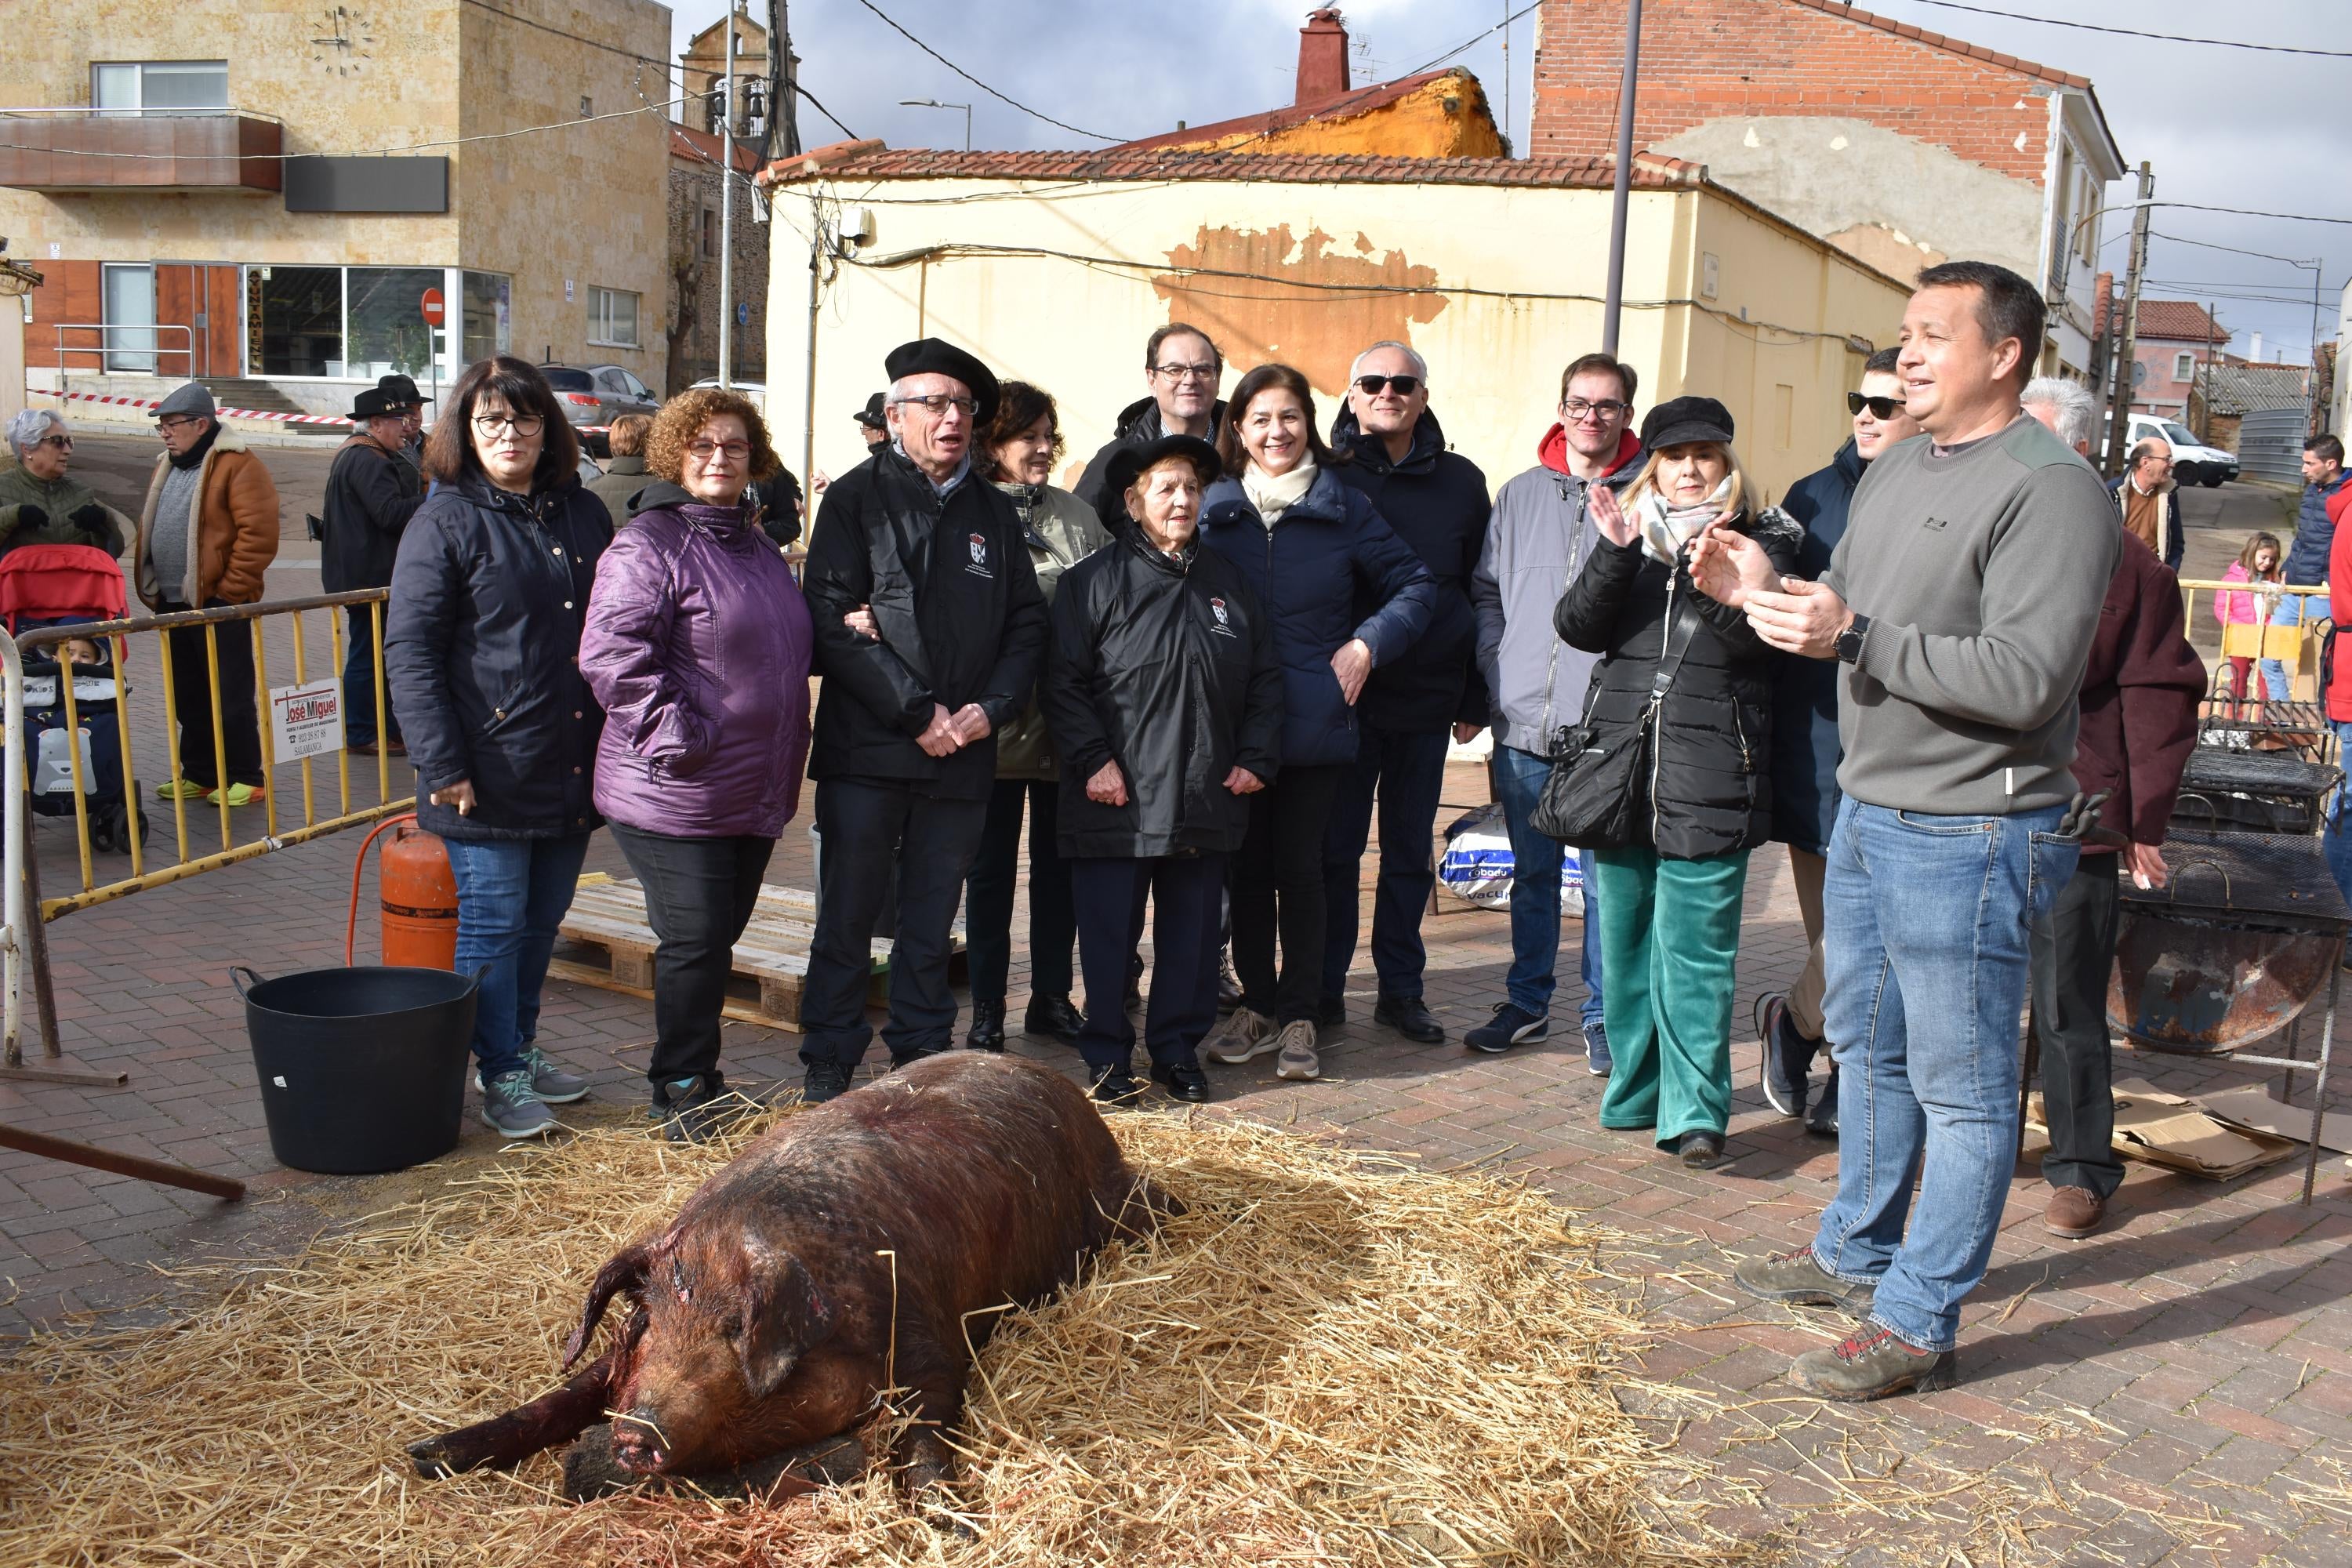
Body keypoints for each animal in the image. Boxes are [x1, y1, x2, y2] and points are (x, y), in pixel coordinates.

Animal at [409, 1053, 1176, 1504]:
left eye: (734, 1330)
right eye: (654, 1321)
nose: (636, 1433)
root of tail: (1059, 1082)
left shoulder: (932, 1335)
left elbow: (924, 1427)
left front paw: (946, 1518)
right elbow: (565, 1395)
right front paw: (425, 1456)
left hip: (1118, 1208)